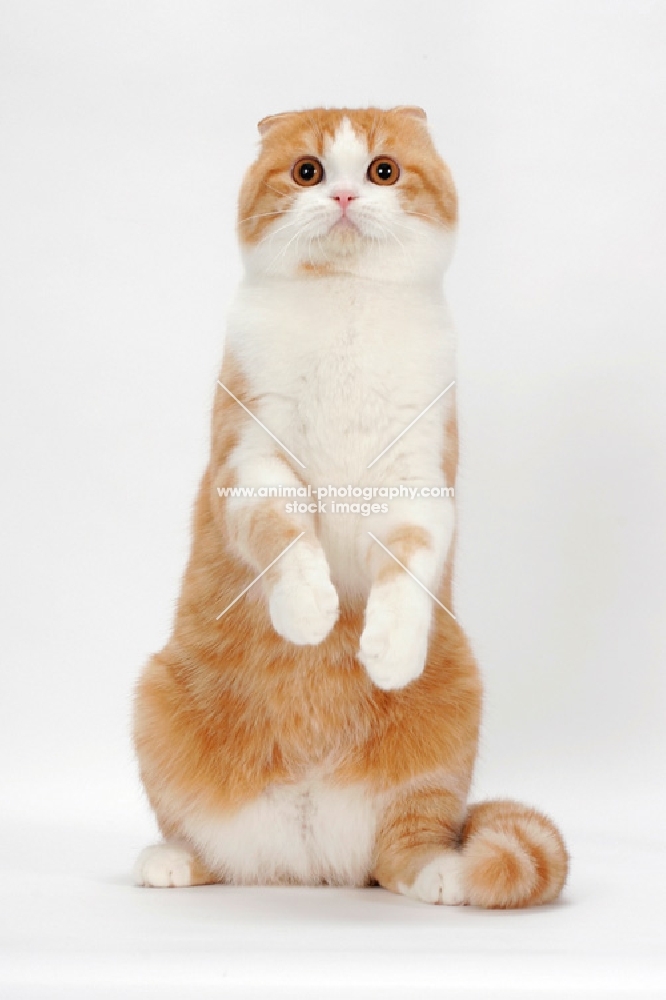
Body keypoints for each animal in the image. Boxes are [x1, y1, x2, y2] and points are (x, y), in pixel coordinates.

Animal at [134, 107, 564, 908]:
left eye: (383, 171)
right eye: (307, 171)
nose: (341, 196)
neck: (347, 311)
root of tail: (310, 863)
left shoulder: (419, 482)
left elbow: (409, 560)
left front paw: (389, 647)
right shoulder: (252, 462)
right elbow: (284, 532)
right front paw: (308, 609)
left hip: (453, 714)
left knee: (403, 851)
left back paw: (442, 874)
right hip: (155, 697)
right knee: (212, 847)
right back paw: (173, 860)